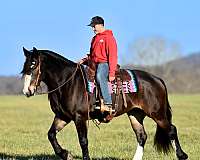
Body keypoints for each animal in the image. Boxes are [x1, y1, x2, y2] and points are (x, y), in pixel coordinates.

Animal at [20, 47, 188, 159]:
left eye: (33, 64)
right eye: (25, 65)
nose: (27, 91)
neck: (68, 82)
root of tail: (157, 79)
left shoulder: (79, 117)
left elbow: (83, 141)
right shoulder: (63, 116)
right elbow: (51, 135)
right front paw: (65, 154)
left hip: (157, 114)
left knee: (171, 130)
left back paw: (182, 155)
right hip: (135, 114)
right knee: (141, 136)